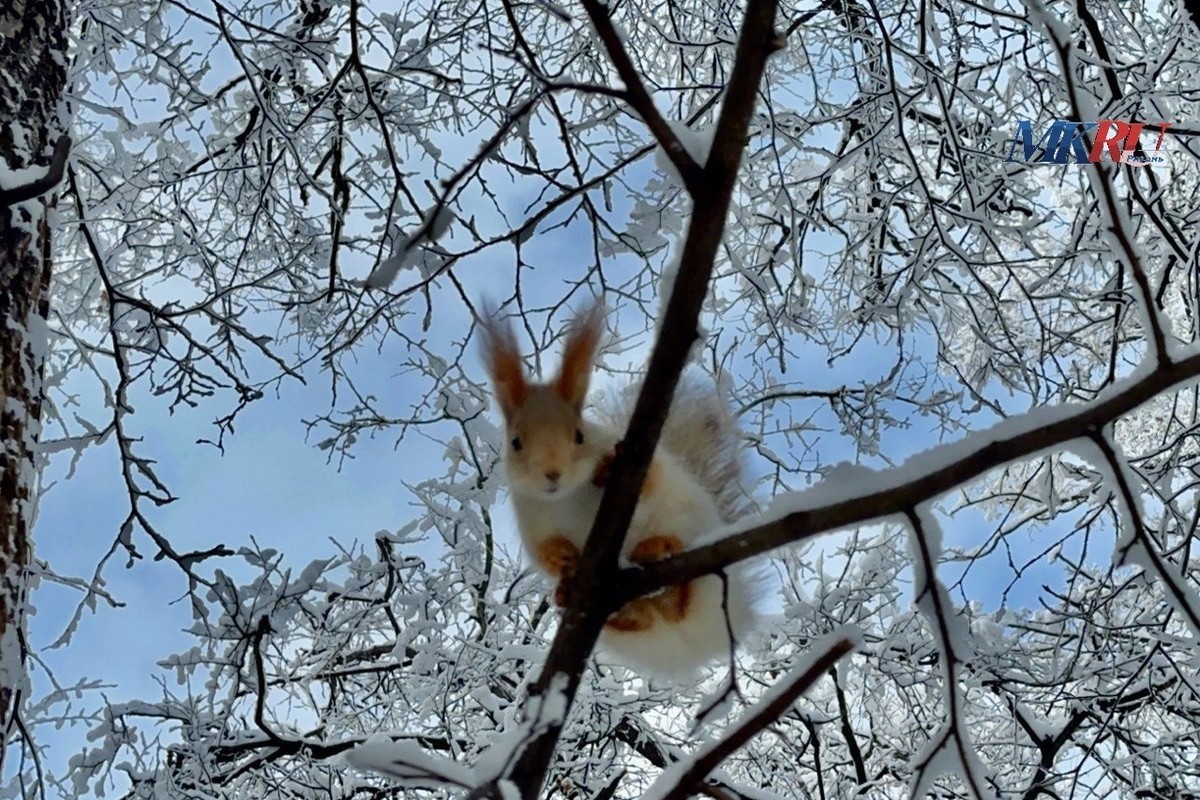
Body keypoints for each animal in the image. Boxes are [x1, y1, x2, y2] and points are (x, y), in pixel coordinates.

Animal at [480, 299, 753, 676]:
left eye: (579, 435)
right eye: (516, 443)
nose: (552, 474)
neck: (567, 496)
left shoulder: (639, 464)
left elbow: (650, 480)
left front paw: (607, 468)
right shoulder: (533, 518)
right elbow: (543, 549)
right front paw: (559, 558)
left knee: (683, 595)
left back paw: (659, 549)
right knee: (643, 620)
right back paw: (578, 598)